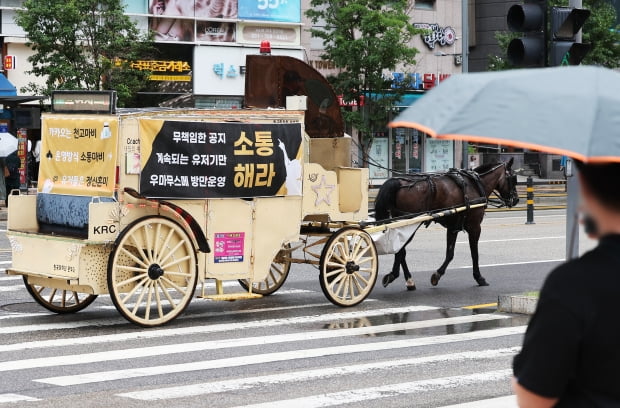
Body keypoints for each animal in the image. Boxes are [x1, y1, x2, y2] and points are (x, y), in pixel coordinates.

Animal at [376, 159, 520, 290]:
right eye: (513, 178)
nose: (516, 200)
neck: (475, 184)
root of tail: (398, 182)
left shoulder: (453, 228)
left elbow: (450, 253)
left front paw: (437, 275)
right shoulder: (475, 227)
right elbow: (474, 253)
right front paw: (479, 277)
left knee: (400, 250)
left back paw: (405, 279)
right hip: (409, 223)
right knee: (401, 250)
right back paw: (401, 277)